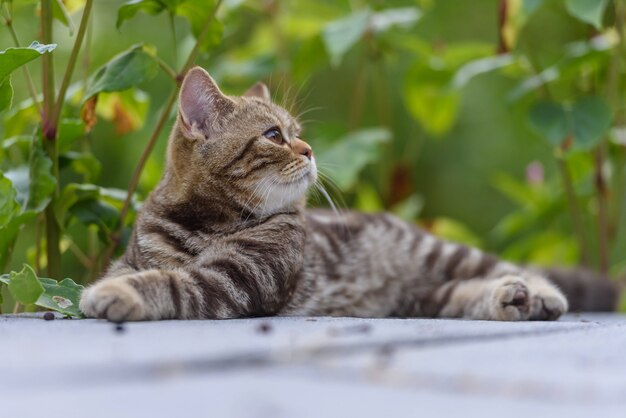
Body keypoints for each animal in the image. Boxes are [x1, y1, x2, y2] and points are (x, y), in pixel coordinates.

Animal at [78, 65, 608, 322]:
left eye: (297, 133)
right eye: (274, 135)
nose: (309, 149)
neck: (204, 225)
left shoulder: (236, 279)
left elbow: (172, 283)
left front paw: (116, 294)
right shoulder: (138, 255)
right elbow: (146, 270)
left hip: (443, 253)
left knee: (507, 268)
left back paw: (537, 293)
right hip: (421, 296)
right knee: (460, 293)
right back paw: (509, 299)